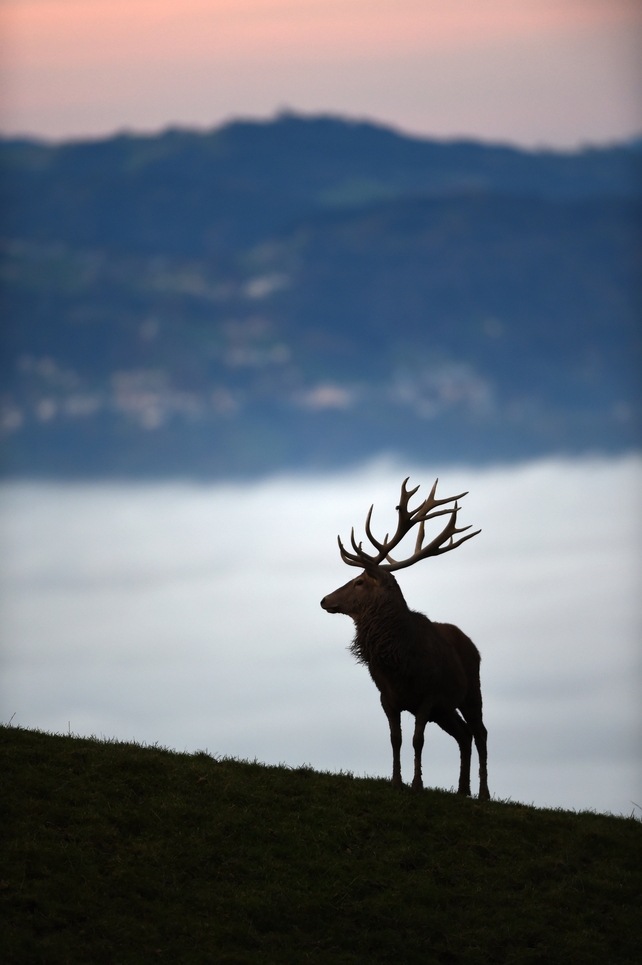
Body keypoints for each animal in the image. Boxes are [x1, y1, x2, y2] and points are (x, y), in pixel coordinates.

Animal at [320, 477, 489, 800]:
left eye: (359, 581)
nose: (324, 600)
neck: (399, 662)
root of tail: (471, 643)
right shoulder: (388, 698)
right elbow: (395, 739)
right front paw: (396, 782)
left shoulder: (428, 695)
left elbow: (417, 739)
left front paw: (417, 784)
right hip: (445, 709)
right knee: (463, 734)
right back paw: (462, 791)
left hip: (471, 690)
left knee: (480, 732)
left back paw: (484, 794)